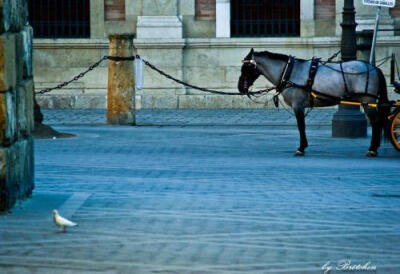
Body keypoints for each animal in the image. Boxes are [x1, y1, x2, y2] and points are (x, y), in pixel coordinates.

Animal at [238, 48, 390, 157]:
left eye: (246, 68)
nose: (240, 88)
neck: (290, 72)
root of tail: (373, 67)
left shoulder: (298, 106)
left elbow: (301, 126)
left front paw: (301, 148)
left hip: (367, 101)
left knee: (376, 122)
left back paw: (372, 149)